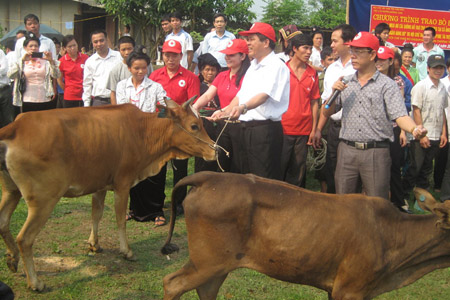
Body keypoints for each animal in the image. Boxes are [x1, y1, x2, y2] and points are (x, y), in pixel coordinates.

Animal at [0, 99, 216, 292]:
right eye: (194, 126)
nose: (214, 150)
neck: (142, 131)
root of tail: (17, 125)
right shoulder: (123, 184)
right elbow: (120, 219)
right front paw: (126, 251)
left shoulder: (99, 185)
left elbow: (96, 214)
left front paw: (94, 244)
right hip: (43, 200)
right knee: (24, 238)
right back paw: (35, 283)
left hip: (11, 191)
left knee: (3, 223)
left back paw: (12, 259)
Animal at [162, 171, 450, 300]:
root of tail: (209, 176)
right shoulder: (349, 288)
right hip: (208, 261)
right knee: (172, 283)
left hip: (217, 264)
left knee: (204, 289)